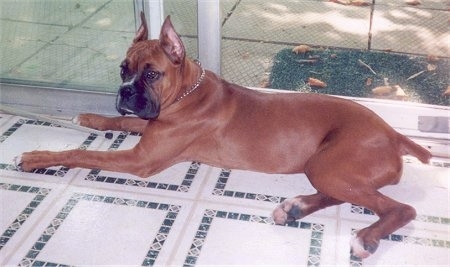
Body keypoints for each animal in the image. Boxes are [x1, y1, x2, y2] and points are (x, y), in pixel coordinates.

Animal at [18, 12, 432, 260]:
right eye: (123, 68)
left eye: (151, 74)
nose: (124, 92)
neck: (186, 92)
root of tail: (394, 134)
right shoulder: (150, 127)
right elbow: (120, 123)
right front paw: (89, 116)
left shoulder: (140, 159)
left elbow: (82, 153)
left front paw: (37, 157)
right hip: (326, 168)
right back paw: (294, 208)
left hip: (328, 164)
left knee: (399, 208)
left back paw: (365, 238)